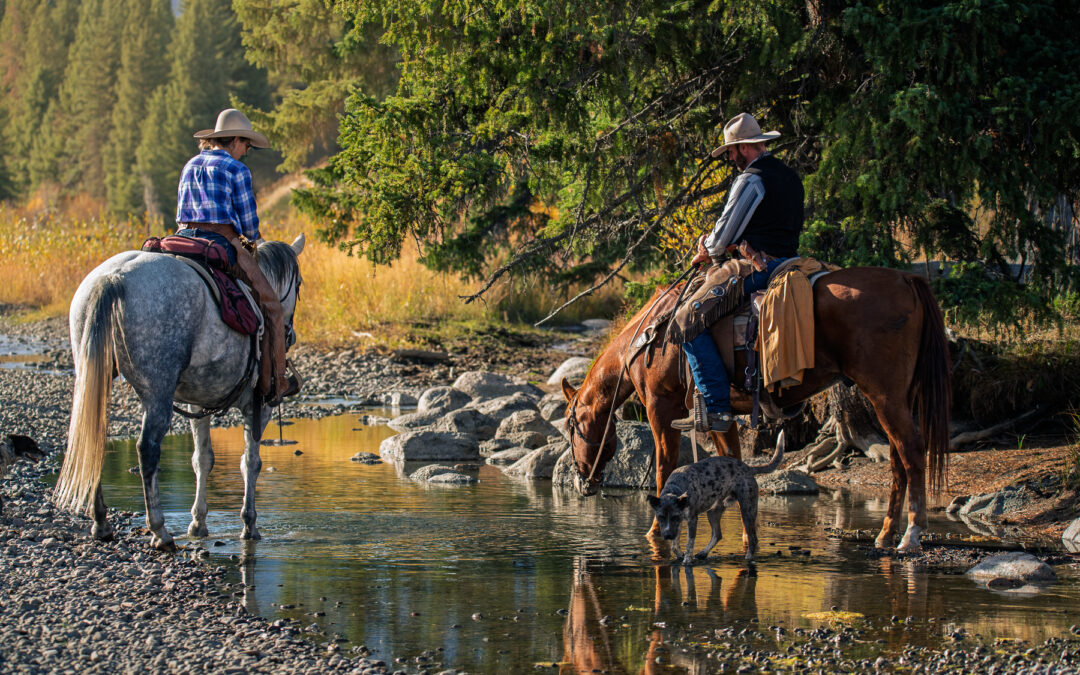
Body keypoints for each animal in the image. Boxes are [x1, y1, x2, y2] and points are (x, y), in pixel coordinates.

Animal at [55, 235, 304, 548]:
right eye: (299, 285)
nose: (289, 333)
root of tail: (112, 279)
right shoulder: (257, 407)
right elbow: (250, 463)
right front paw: (249, 525)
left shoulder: (199, 405)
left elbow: (203, 459)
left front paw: (198, 523)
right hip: (158, 393)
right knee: (147, 449)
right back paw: (159, 531)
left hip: (94, 374)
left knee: (92, 436)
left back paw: (101, 523)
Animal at [639, 429, 786, 561]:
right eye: (661, 517)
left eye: (674, 516)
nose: (668, 535)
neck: (676, 486)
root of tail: (749, 468)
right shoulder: (678, 522)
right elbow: (675, 546)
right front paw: (680, 555)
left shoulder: (691, 520)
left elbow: (690, 544)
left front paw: (687, 560)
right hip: (713, 512)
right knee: (717, 534)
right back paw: (703, 553)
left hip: (747, 510)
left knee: (753, 538)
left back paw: (748, 557)